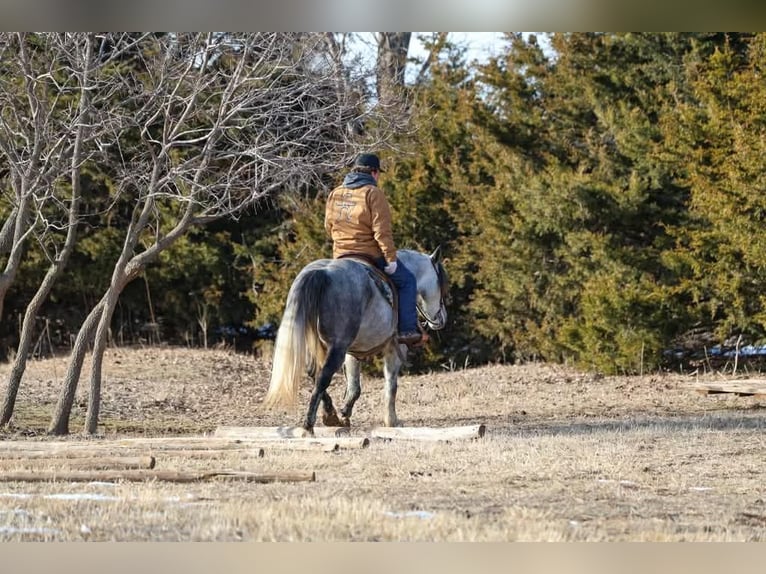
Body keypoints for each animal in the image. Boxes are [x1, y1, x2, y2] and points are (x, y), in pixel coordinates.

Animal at [263, 247, 449, 434]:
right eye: (441, 284)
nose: (441, 319)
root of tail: (322, 272)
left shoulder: (352, 353)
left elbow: (354, 387)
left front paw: (345, 414)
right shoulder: (394, 349)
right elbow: (391, 385)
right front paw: (391, 420)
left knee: (314, 373)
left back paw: (330, 415)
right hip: (337, 348)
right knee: (323, 376)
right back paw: (309, 425)